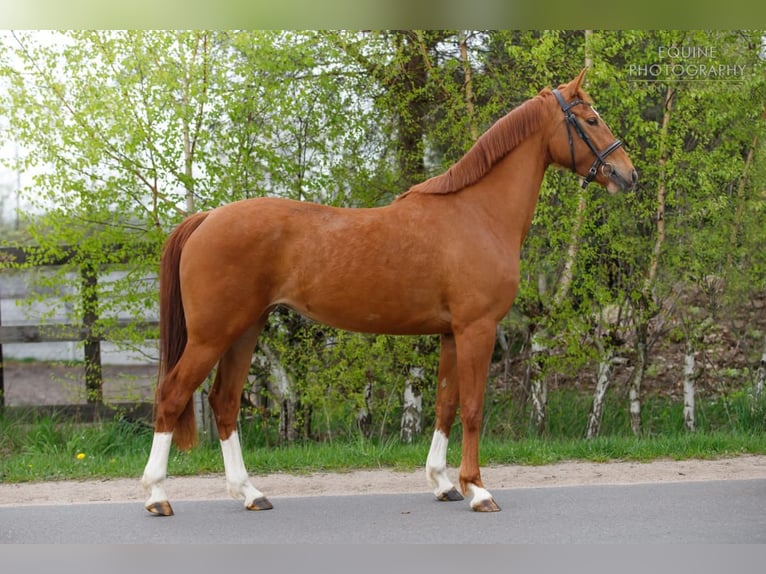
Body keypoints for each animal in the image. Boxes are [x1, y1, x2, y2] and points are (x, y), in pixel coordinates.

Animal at [141, 68, 637, 515]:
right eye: (591, 119)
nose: (628, 175)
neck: (477, 213)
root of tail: (207, 218)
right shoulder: (476, 329)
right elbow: (473, 408)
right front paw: (478, 489)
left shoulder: (452, 333)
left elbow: (445, 404)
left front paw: (443, 483)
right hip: (212, 335)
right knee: (172, 395)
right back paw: (157, 495)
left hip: (244, 330)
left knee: (224, 403)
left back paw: (249, 493)